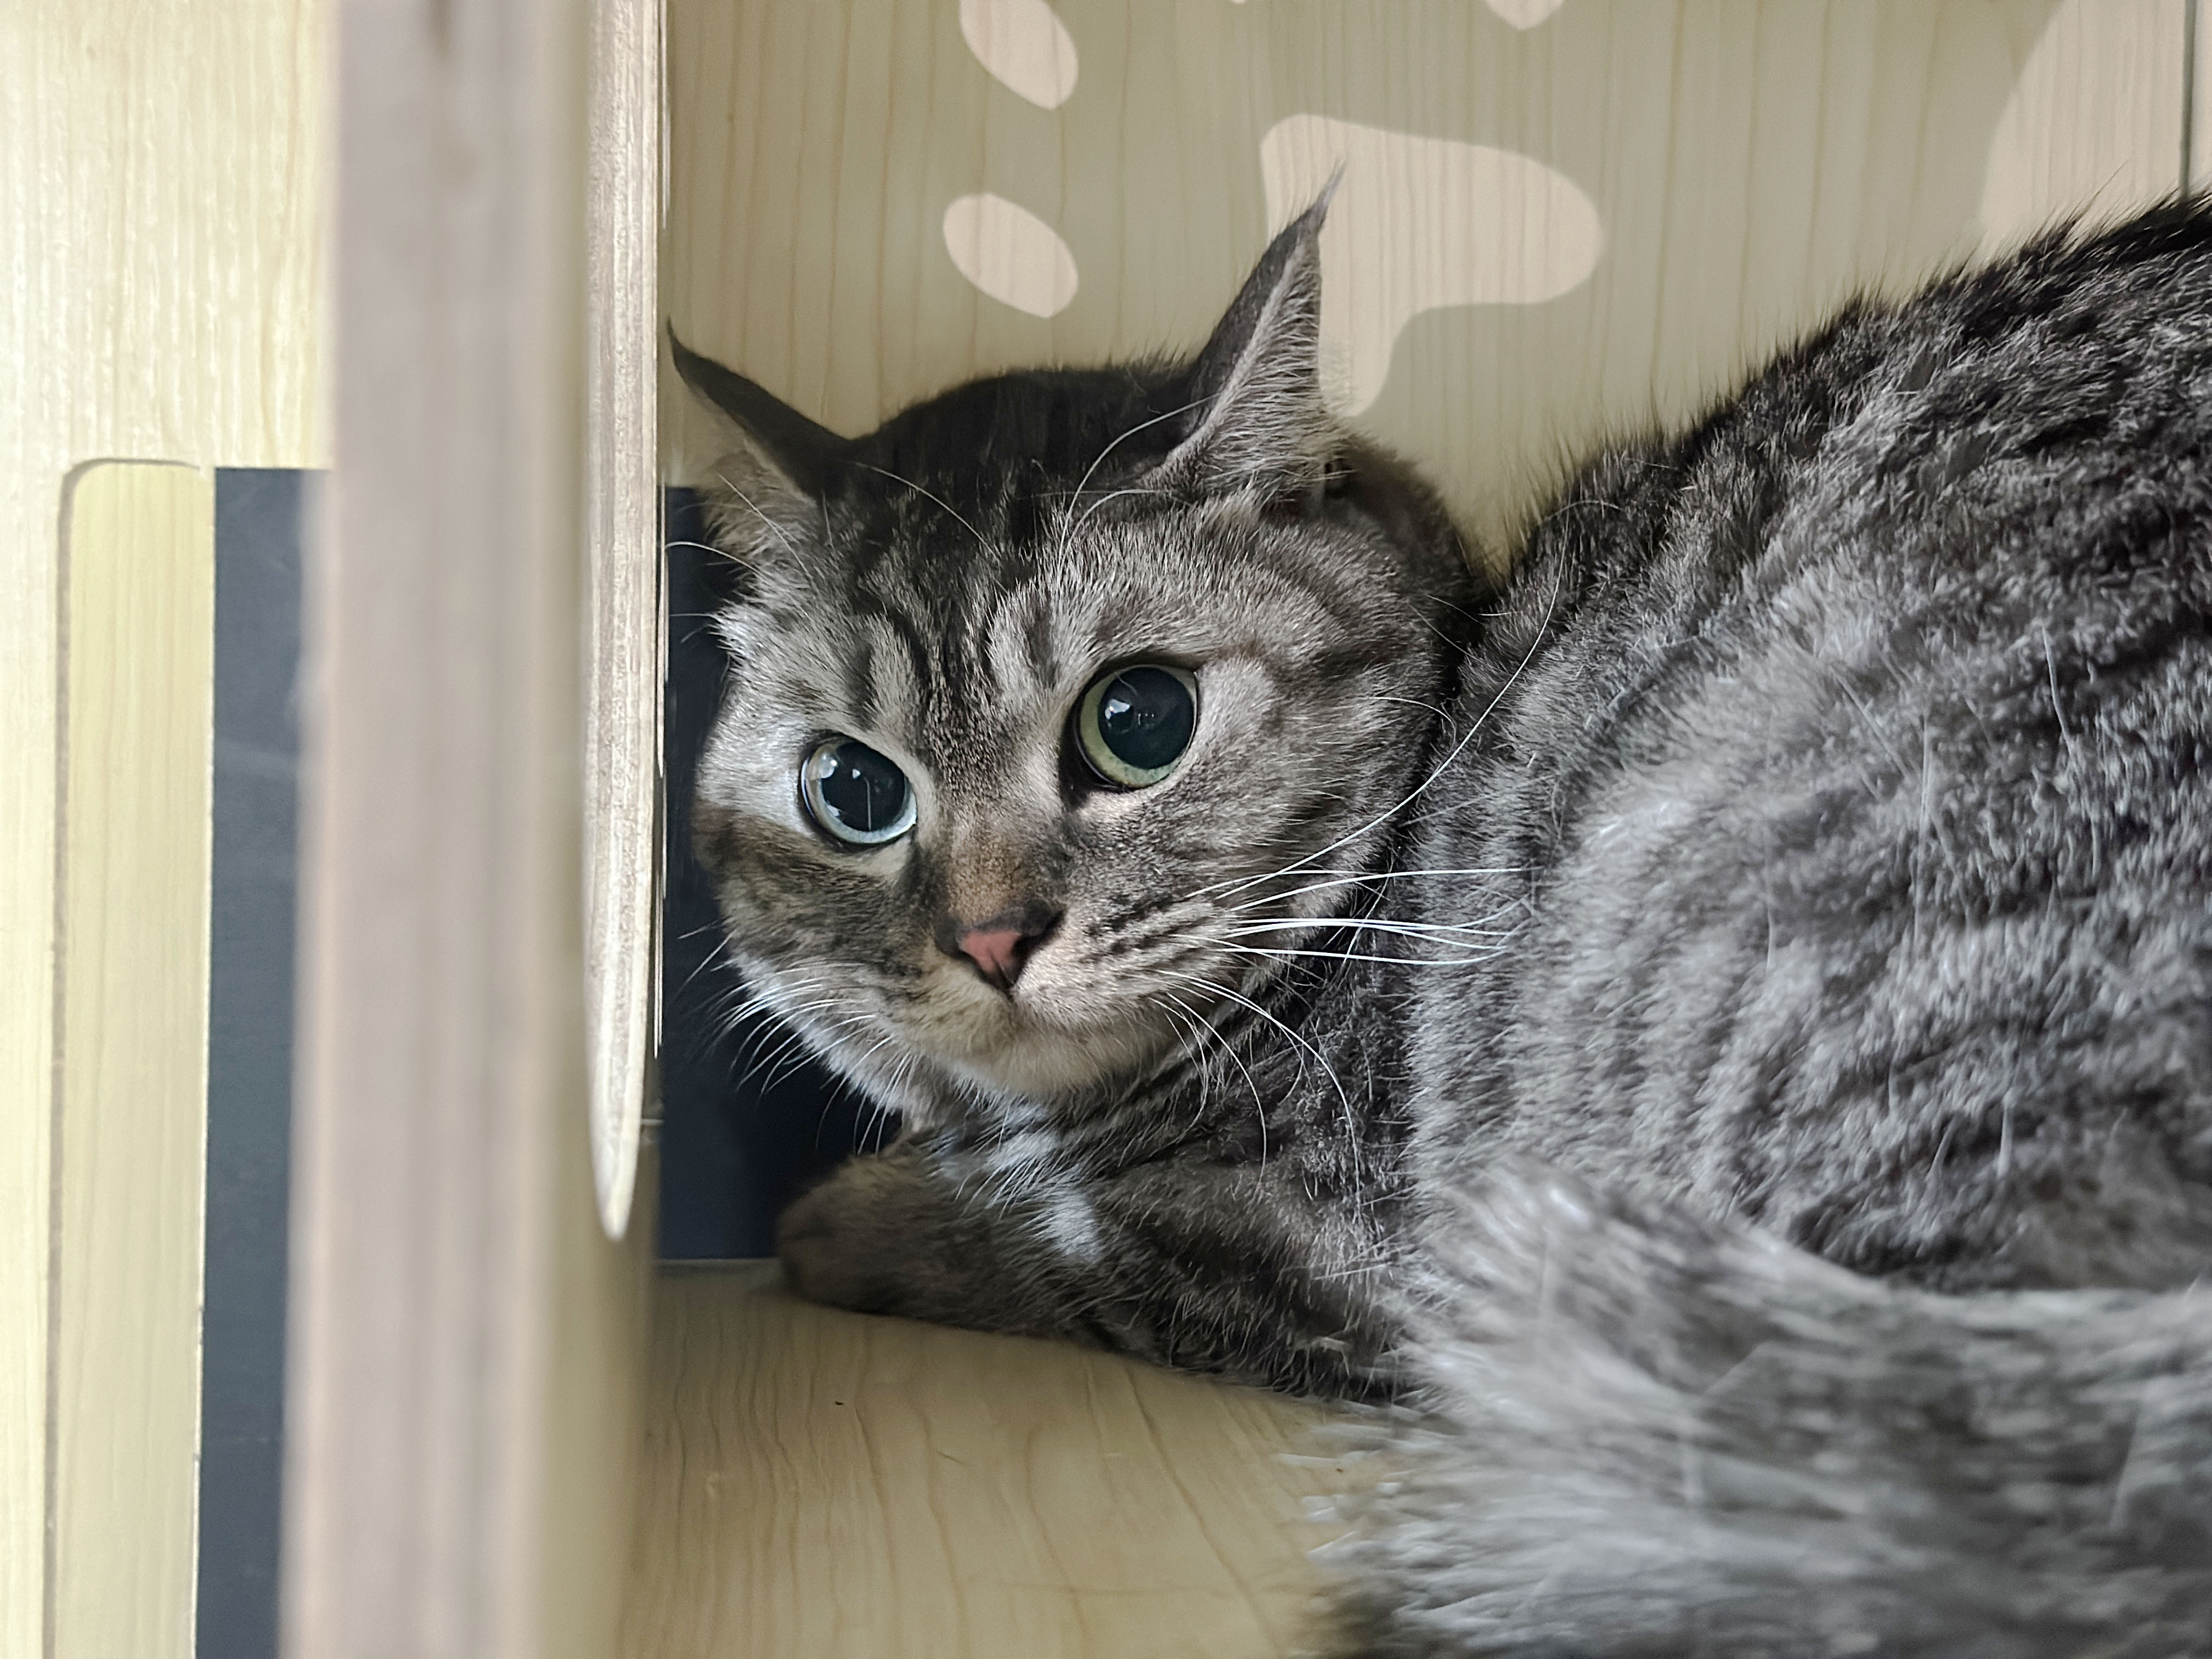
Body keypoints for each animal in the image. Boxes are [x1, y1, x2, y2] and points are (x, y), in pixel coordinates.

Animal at [673, 193, 2212, 1656]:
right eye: (853, 791)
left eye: (1140, 720)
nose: (992, 938)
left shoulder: (1333, 1261)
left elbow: (1060, 1251)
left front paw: (846, 1218)